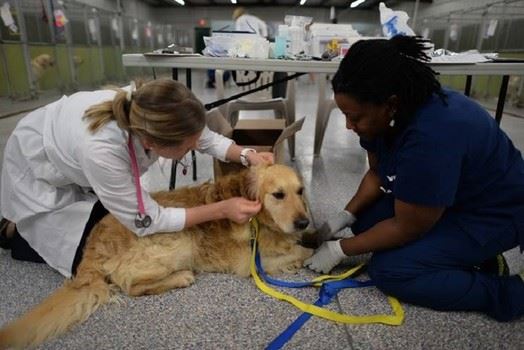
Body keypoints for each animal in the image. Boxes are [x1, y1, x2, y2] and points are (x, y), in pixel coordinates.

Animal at [0, 164, 314, 350]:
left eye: (300, 191)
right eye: (278, 194)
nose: (303, 222)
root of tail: (93, 244)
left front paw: (316, 238)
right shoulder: (248, 263)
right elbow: (298, 251)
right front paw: (313, 257)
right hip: (180, 241)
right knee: (132, 286)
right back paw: (181, 277)